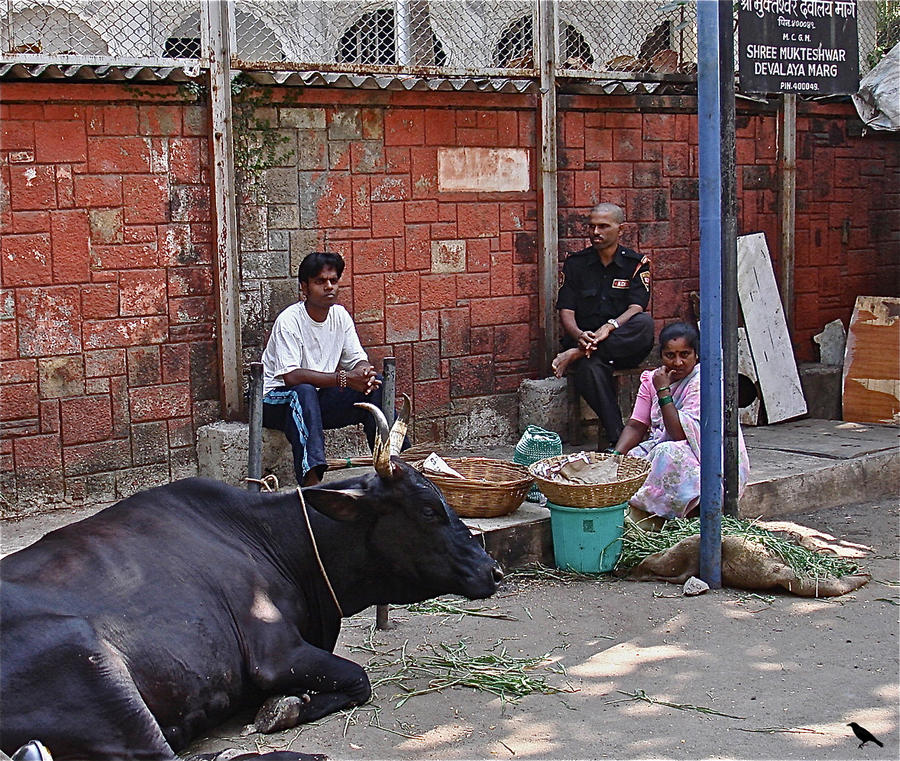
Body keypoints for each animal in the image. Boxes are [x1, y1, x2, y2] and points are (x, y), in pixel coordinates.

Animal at [0, 400, 502, 756]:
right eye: (428, 510)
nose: (492, 569)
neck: (271, 539)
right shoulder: (275, 655)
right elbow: (359, 679)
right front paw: (283, 708)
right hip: (94, 666)